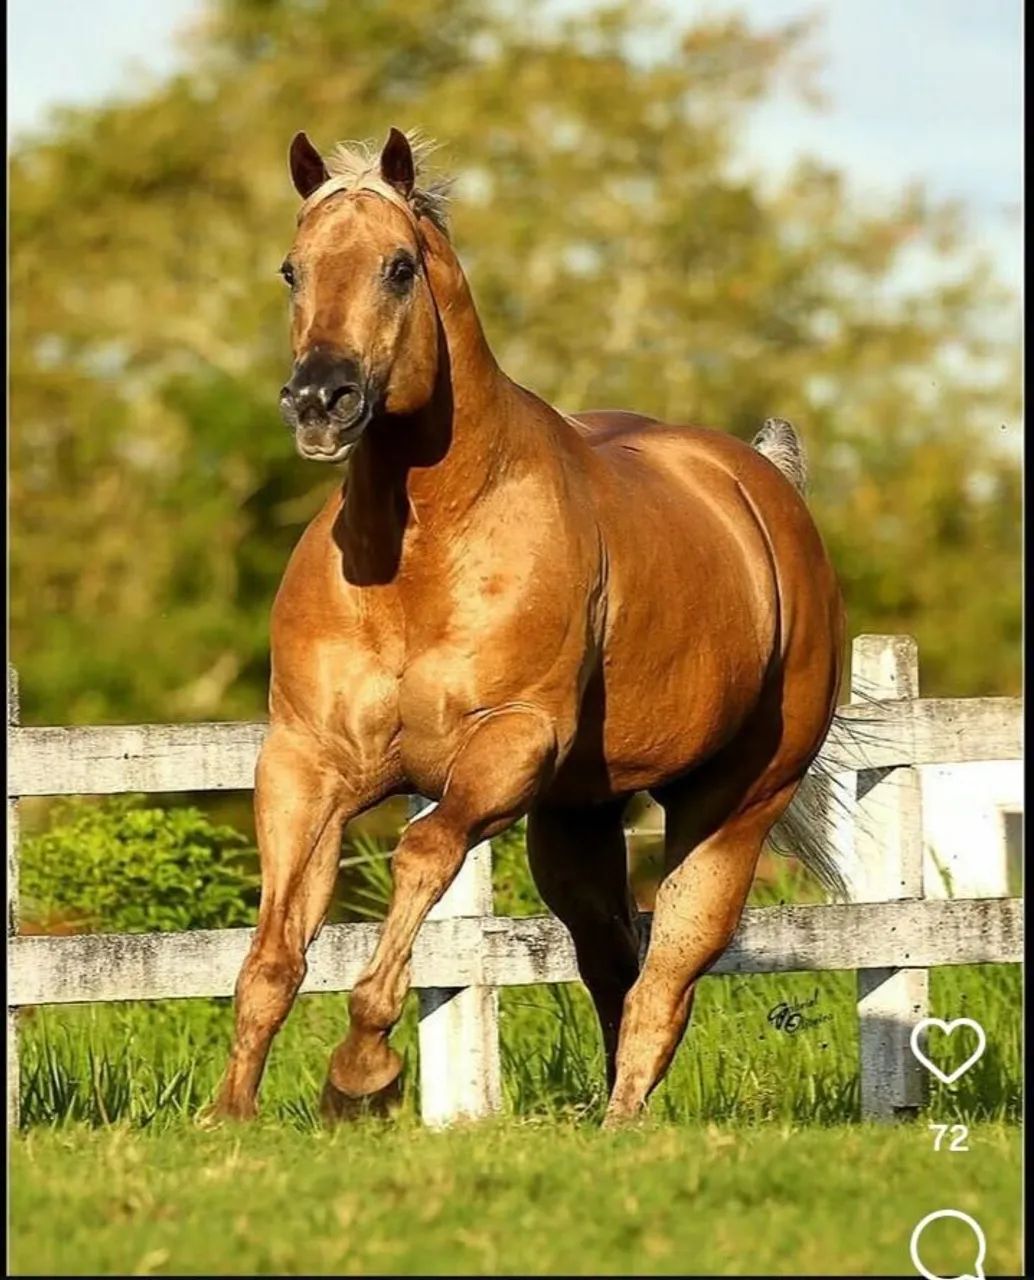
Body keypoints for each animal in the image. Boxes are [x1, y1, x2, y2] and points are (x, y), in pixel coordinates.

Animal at [214, 127, 845, 1127]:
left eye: (399, 266)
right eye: (291, 268)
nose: (320, 401)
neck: (422, 554)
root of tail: (764, 487)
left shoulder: (507, 747)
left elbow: (422, 854)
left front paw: (361, 1074)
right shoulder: (305, 762)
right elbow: (276, 947)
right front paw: (228, 1115)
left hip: (734, 808)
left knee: (669, 971)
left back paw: (622, 1121)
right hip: (577, 820)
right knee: (613, 959)